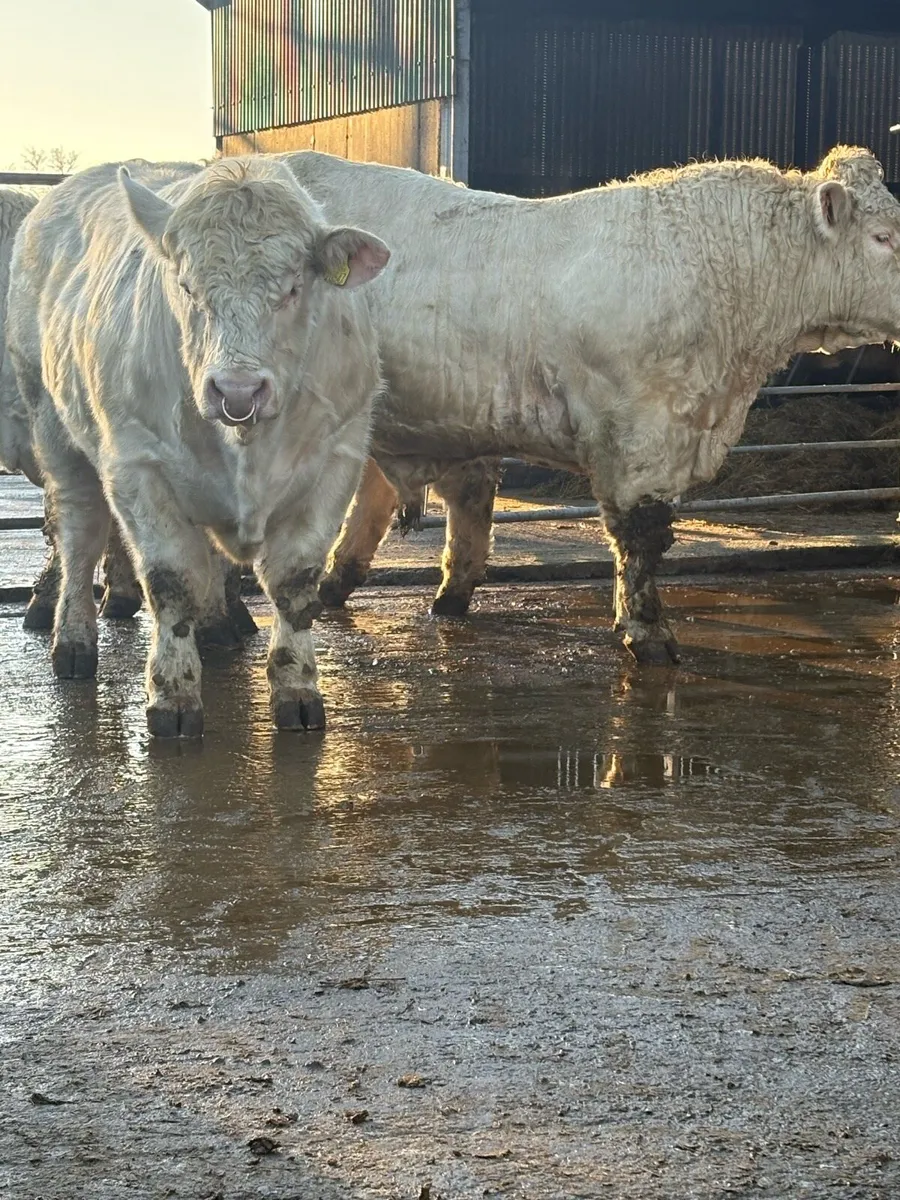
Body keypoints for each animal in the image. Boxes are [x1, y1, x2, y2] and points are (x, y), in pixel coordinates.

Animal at [6, 156, 389, 736]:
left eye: (293, 288)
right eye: (186, 287)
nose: (237, 390)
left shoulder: (336, 460)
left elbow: (294, 584)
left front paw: (297, 688)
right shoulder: (137, 466)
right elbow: (171, 580)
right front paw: (173, 694)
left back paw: (218, 626)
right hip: (55, 430)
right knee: (79, 535)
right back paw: (72, 641)